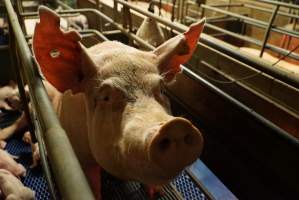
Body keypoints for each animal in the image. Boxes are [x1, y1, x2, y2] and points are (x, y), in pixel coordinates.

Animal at [6, 5, 206, 199]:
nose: (176, 126)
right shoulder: (80, 156)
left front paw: (158, 192)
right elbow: (93, 183)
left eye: (162, 89)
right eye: (106, 97)